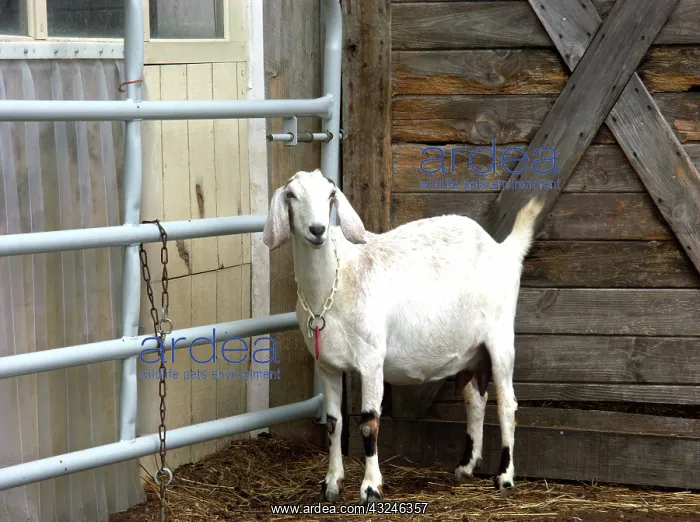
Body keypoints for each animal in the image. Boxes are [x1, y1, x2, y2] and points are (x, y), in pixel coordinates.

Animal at [263, 168, 543, 505]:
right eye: (291, 195)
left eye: (330, 196)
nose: (317, 230)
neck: (332, 288)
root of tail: (503, 249)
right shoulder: (326, 364)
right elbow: (333, 424)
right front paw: (331, 483)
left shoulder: (371, 360)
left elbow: (369, 423)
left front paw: (371, 488)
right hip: (471, 350)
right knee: (475, 399)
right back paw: (465, 467)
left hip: (500, 335)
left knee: (507, 403)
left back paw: (504, 477)